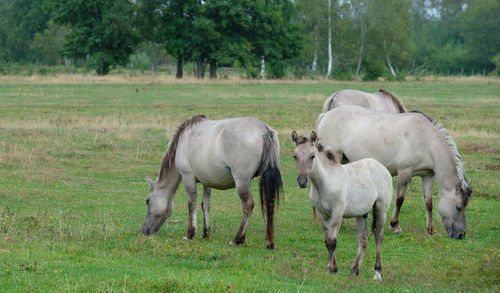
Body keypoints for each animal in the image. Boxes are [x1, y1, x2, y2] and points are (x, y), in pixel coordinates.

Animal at [142, 114, 282, 249]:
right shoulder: (207, 182)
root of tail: (264, 130)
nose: (145, 231)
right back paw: (269, 241)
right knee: (267, 204)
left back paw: (238, 239)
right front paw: (206, 233)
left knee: (248, 205)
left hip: (242, 181)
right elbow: (205, 205)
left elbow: (192, 204)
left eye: (147, 201)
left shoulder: (188, 177)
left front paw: (190, 234)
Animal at [292, 131, 392, 280]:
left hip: (381, 210)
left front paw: (329, 269)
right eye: (295, 156)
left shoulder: (337, 212)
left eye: (312, 156)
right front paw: (333, 268)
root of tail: (382, 168)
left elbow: (332, 241)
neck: (325, 182)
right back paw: (355, 270)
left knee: (378, 236)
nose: (302, 181)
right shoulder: (322, 215)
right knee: (363, 238)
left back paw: (377, 273)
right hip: (359, 214)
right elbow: (327, 241)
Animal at [316, 106, 472, 238]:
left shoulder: (428, 175)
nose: (461, 235)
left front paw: (429, 230)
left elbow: (428, 203)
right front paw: (395, 226)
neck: (424, 139)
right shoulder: (404, 173)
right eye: (458, 207)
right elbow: (399, 200)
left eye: (465, 206)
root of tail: (325, 115)